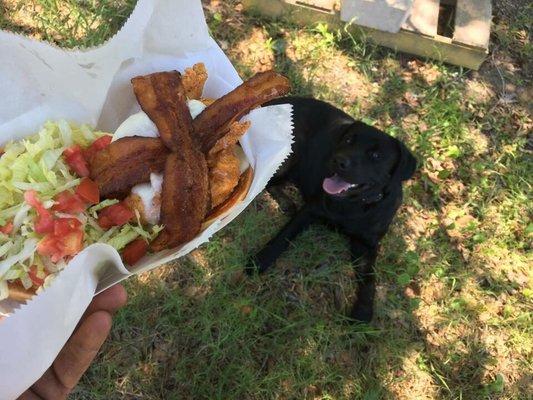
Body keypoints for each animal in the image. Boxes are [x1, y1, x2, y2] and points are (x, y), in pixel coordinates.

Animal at [245, 97, 416, 322]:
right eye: (348, 140)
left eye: (376, 155)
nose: (339, 160)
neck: (355, 206)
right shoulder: (310, 211)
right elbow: (284, 237)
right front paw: (261, 260)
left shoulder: (367, 243)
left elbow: (369, 277)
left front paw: (363, 310)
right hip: (290, 154)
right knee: (264, 179)